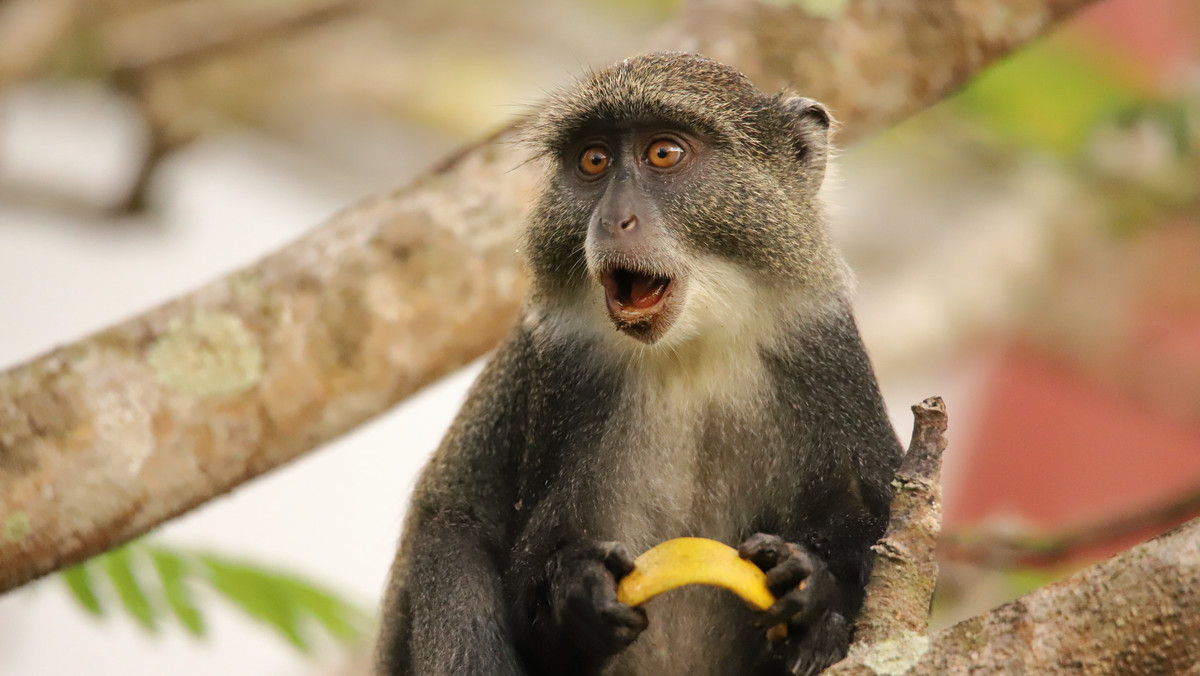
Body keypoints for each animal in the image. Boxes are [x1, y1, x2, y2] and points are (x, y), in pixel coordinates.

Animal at [374, 54, 902, 676]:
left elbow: (873, 515)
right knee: (449, 552)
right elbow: (517, 568)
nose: (612, 220)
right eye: (594, 161)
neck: (690, 346)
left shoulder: (822, 345)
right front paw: (577, 594)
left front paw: (809, 584)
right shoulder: (561, 373)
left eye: (664, 154)